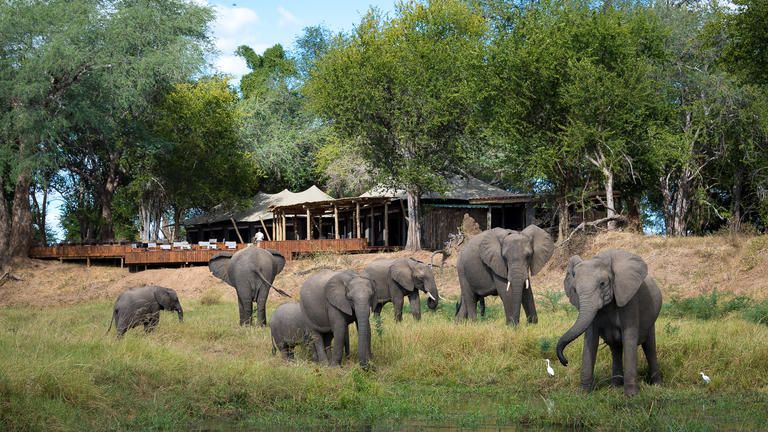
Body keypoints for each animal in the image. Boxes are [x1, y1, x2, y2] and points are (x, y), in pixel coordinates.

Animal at [556, 249, 663, 396]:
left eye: (602, 284)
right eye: (575, 290)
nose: (565, 362)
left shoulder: (629, 298)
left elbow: (629, 337)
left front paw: (631, 396)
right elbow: (590, 340)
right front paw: (583, 394)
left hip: (652, 317)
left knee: (649, 347)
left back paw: (657, 386)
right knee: (616, 348)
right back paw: (615, 387)